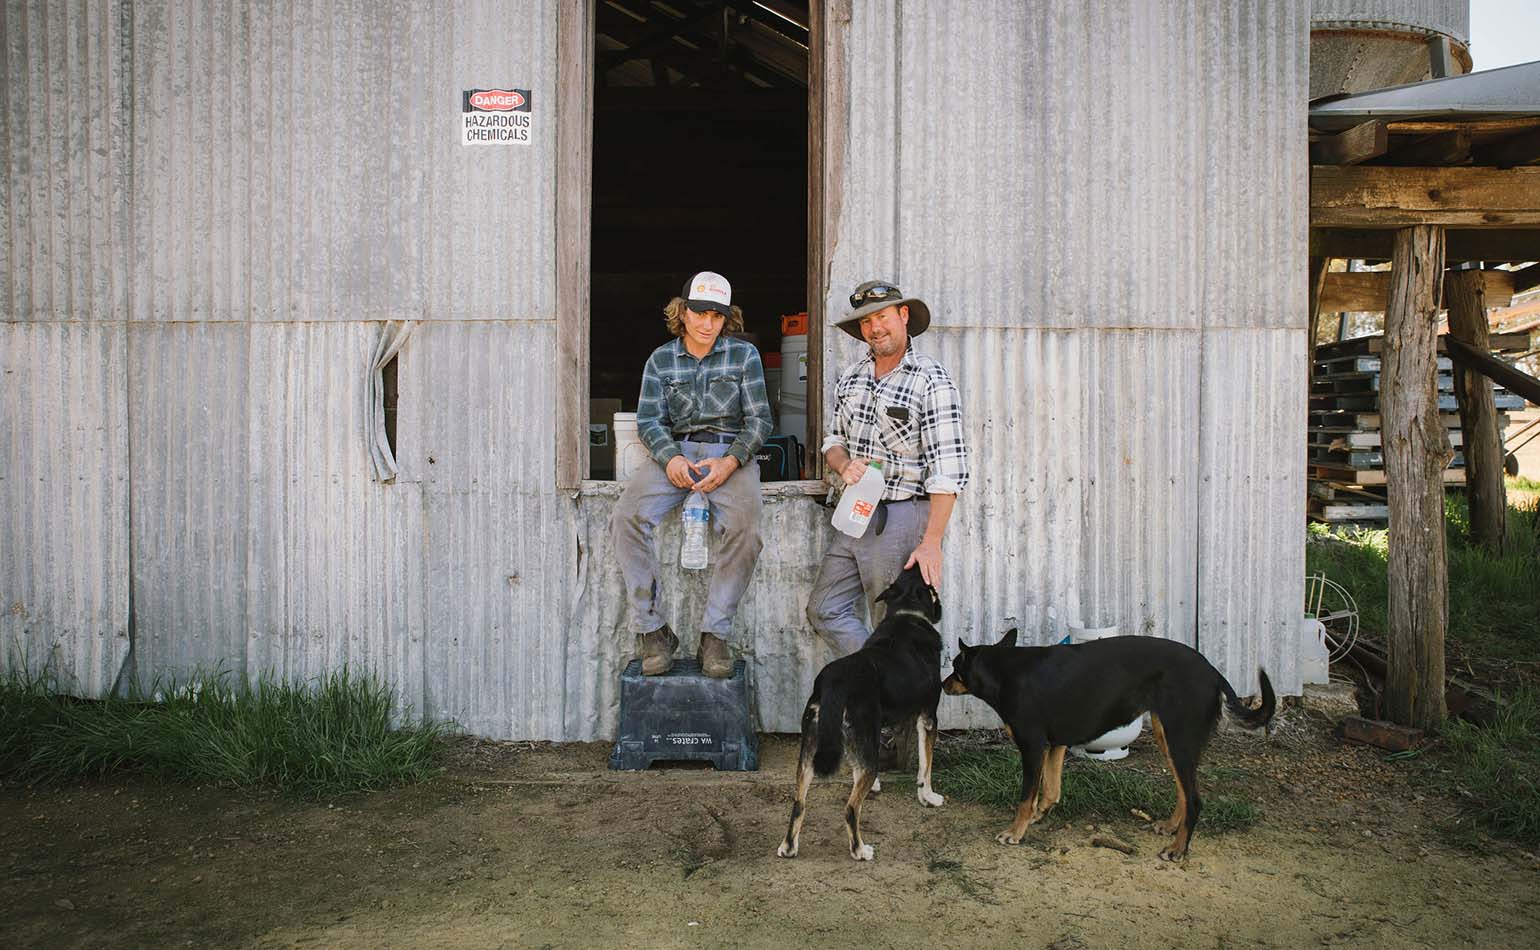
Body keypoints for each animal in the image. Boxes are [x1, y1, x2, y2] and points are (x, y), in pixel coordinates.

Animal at [776, 563, 942, 862]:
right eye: (927, 582)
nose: (914, 562)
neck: (907, 612)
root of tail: (834, 682)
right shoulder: (928, 717)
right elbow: (926, 767)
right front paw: (929, 798)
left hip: (809, 751)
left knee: (798, 803)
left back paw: (789, 847)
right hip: (861, 743)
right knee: (851, 808)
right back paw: (860, 850)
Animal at [936, 631, 1275, 862]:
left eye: (955, 665)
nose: (942, 684)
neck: (1005, 671)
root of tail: (1213, 672)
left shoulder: (1032, 747)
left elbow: (1025, 797)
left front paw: (1015, 832)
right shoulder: (1055, 745)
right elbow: (1050, 790)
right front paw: (1039, 815)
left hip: (1180, 740)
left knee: (1194, 799)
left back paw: (1178, 849)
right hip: (1169, 739)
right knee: (1184, 792)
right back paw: (1170, 827)